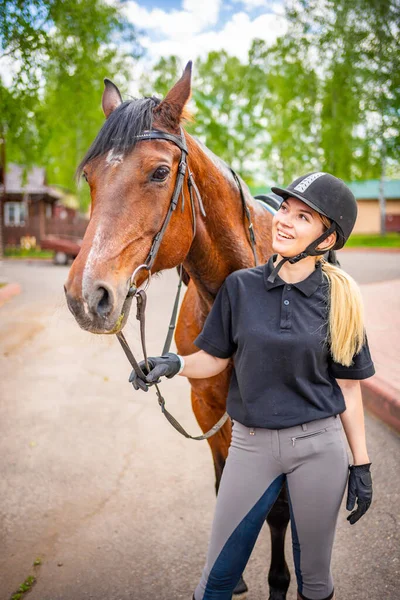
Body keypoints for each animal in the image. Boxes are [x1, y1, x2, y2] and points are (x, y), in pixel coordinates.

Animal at [65, 62, 290, 600]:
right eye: (90, 177)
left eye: (160, 172)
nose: (85, 295)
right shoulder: (207, 405)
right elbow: (227, 487)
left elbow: (277, 509)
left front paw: (277, 581)